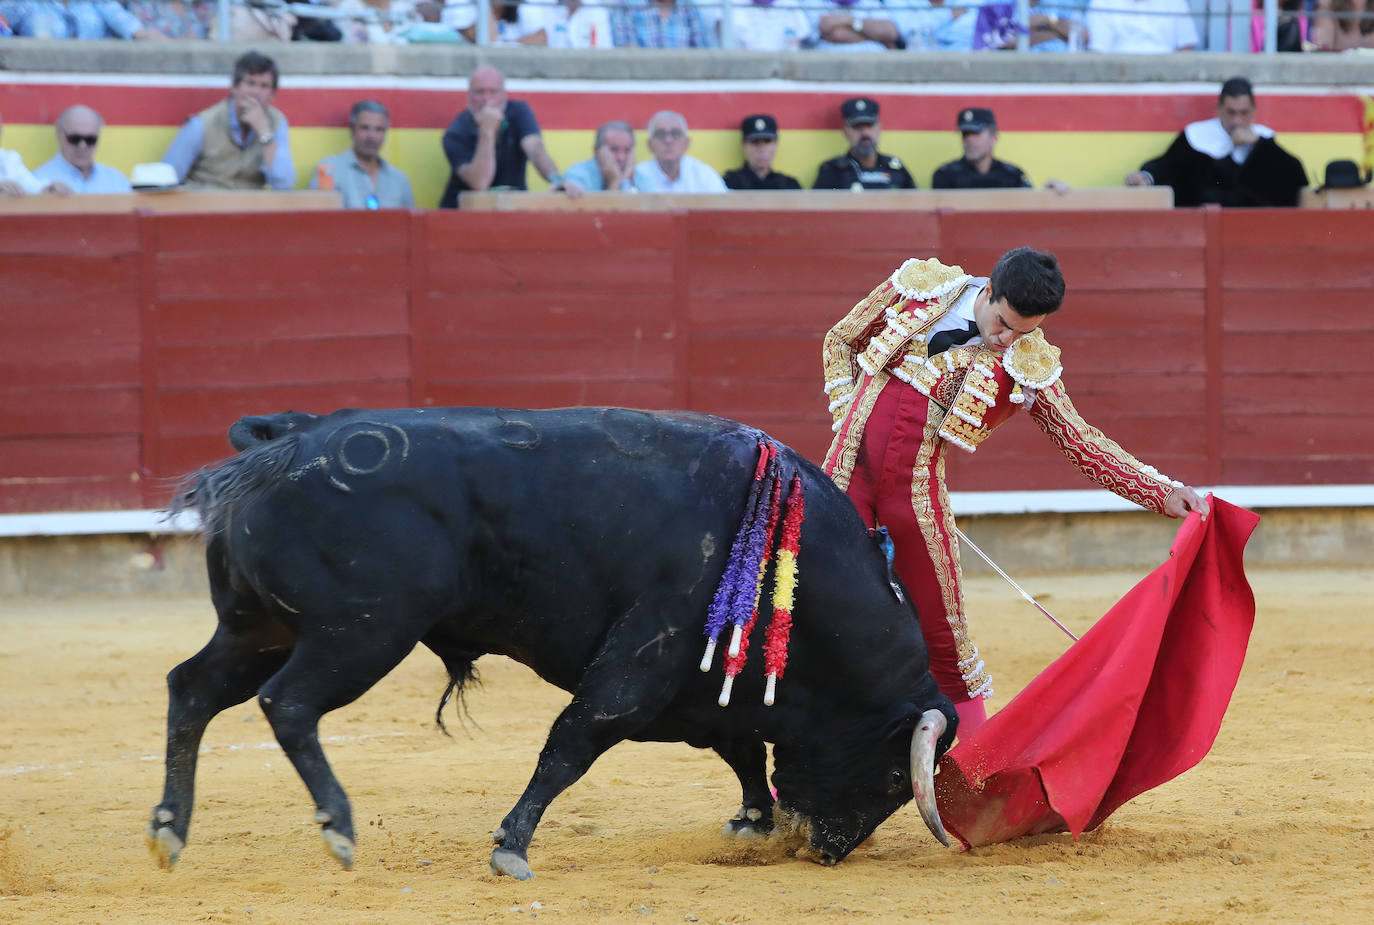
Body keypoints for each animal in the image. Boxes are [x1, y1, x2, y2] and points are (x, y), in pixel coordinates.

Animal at [150, 406, 961, 874]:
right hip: (361, 633)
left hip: (260, 627)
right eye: (896, 781)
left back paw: (169, 832)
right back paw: (339, 829)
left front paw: (752, 823)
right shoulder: (646, 657)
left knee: (192, 688)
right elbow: (574, 741)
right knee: (287, 703)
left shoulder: (698, 684)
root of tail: (275, 448)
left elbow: (739, 749)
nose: (825, 850)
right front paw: (510, 846)